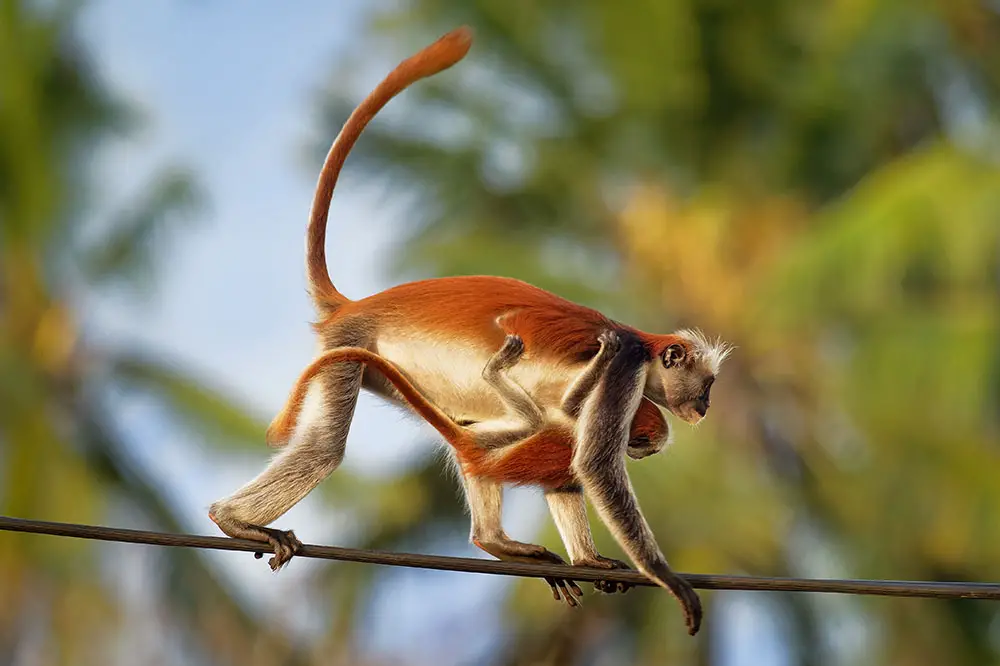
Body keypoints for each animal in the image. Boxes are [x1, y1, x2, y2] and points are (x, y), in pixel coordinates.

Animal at [252, 330, 672, 604]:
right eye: (646, 446)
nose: (643, 455)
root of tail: (473, 445)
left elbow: (565, 479)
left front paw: (589, 562)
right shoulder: (588, 422)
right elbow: (572, 420)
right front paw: (606, 354)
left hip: (487, 447)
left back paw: (497, 541)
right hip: (499, 442)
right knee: (535, 426)